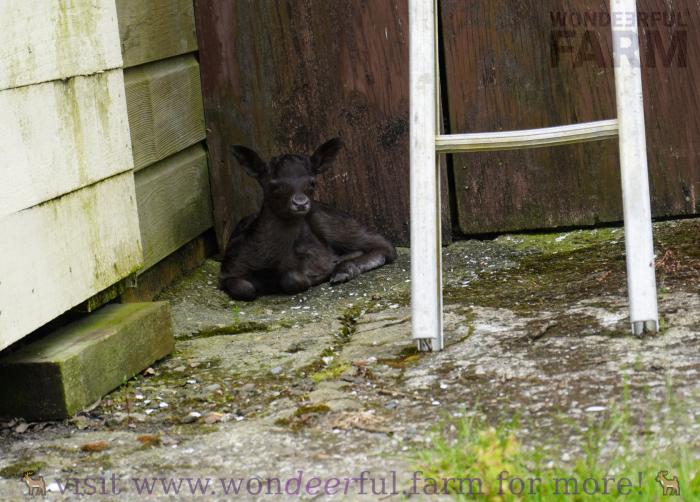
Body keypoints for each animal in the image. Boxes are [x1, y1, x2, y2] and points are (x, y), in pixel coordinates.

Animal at [219, 138, 397, 301]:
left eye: (312, 182)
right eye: (274, 185)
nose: (301, 203)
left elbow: (294, 278)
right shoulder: (228, 266)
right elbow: (244, 288)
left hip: (333, 222)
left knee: (384, 245)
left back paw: (343, 269)